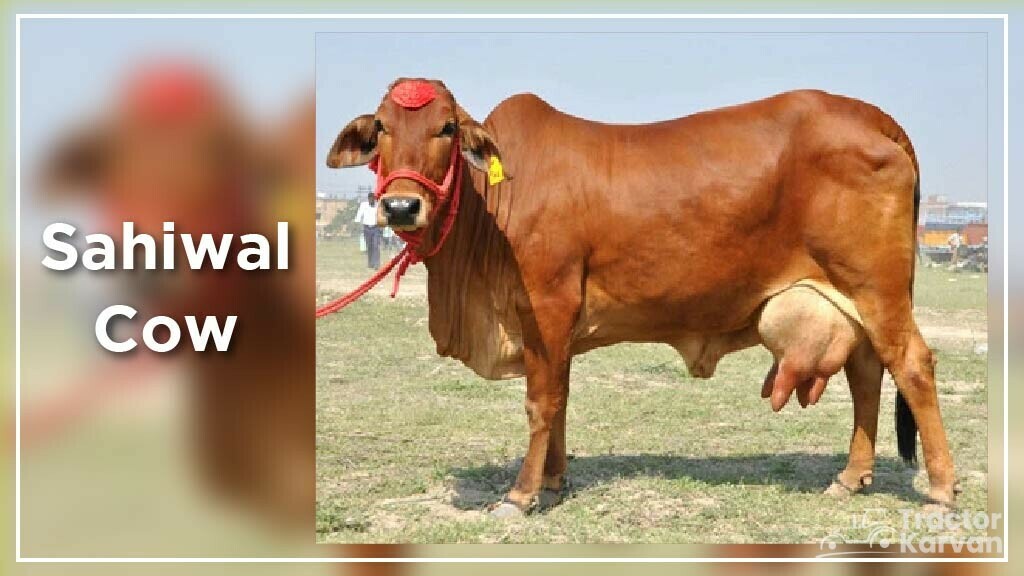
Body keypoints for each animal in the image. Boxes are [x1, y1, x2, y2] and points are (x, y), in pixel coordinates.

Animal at [326, 78, 957, 515]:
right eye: (381, 128)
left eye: (447, 130)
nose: (400, 207)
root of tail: (868, 115)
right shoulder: (554, 327)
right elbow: (561, 398)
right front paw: (554, 481)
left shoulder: (547, 306)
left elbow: (541, 403)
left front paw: (521, 494)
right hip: (852, 299)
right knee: (867, 373)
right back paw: (851, 478)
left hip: (877, 290)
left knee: (912, 365)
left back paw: (942, 489)